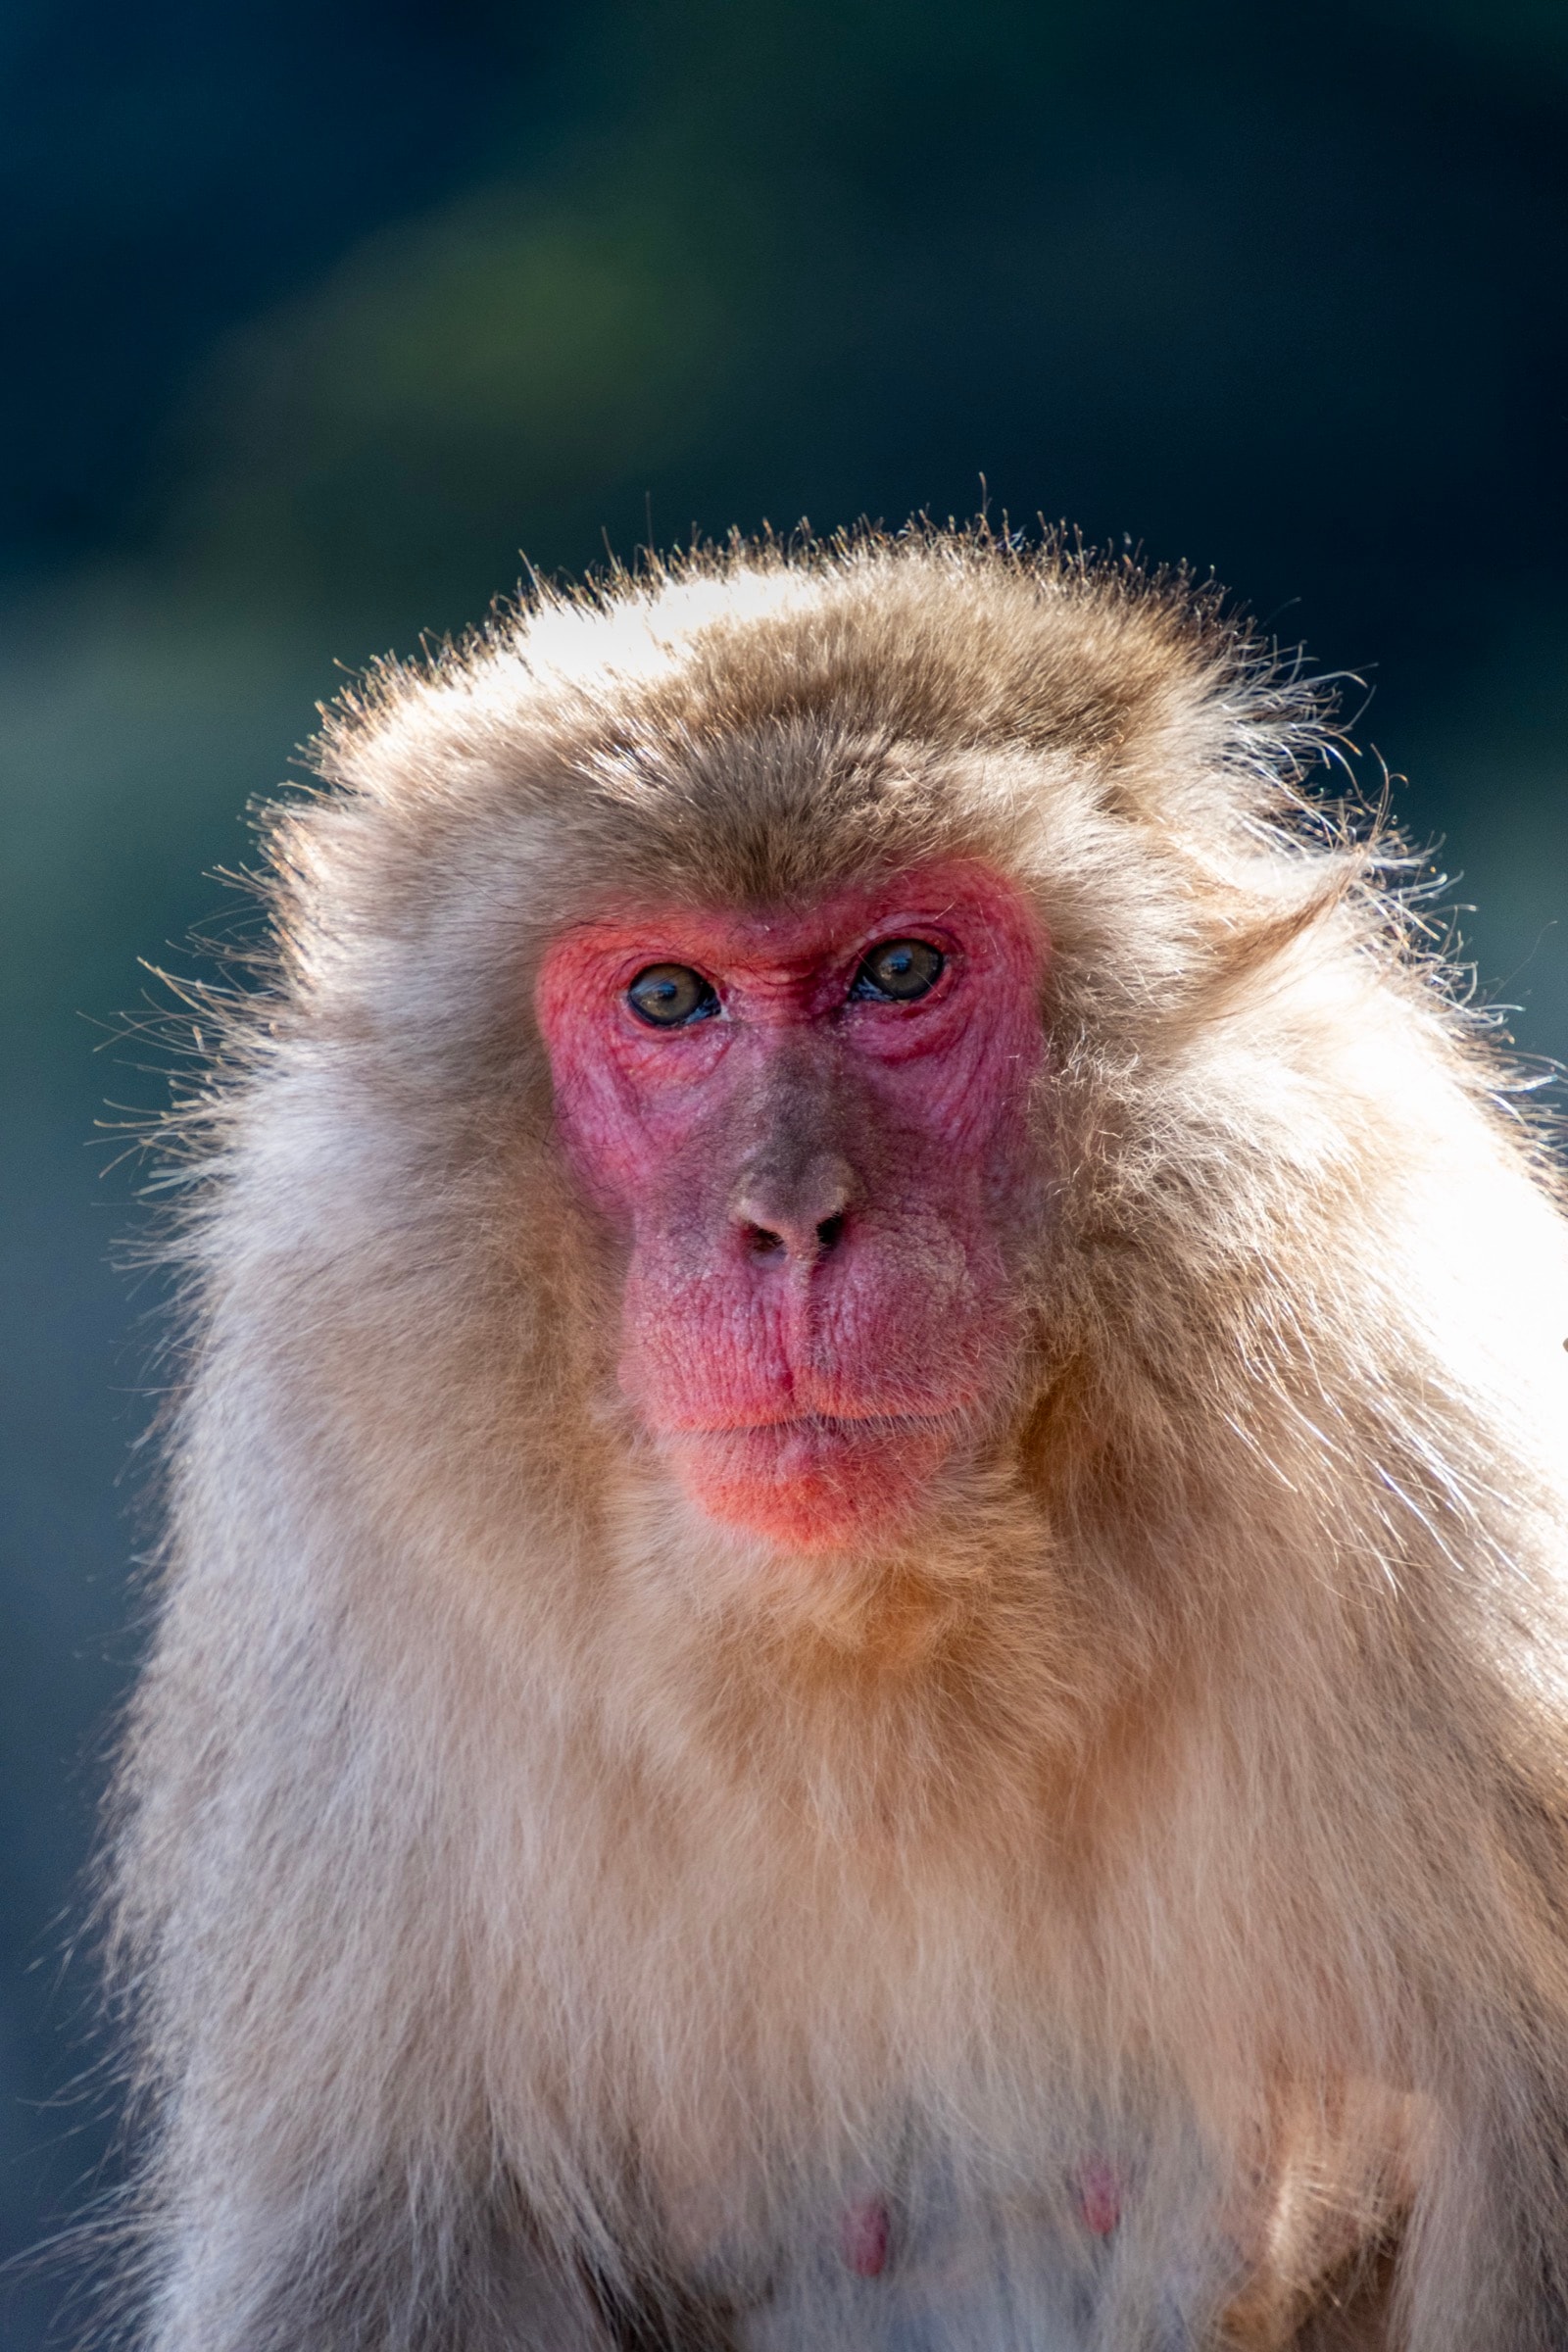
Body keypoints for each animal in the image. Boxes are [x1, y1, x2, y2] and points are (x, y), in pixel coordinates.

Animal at [102, 526, 1568, 2352]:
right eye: (671, 996)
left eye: (900, 975)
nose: (789, 1219)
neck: (892, 1665)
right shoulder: (339, 1617)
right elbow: (374, 2254)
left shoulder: (1439, 1490)